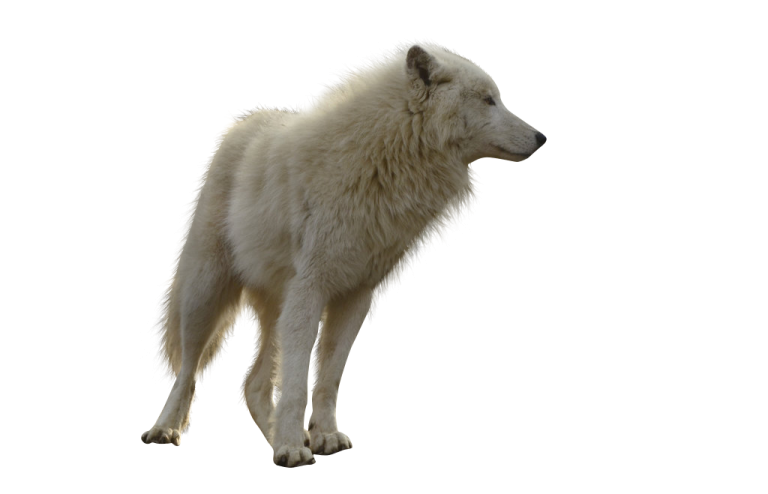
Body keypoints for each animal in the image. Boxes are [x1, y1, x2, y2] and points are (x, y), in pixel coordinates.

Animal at [141, 39, 546, 468]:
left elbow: (329, 377)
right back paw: (165, 430)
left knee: (253, 385)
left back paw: (282, 436)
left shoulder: (357, 296)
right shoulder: (311, 291)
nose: (542, 137)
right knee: (188, 369)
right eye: (489, 100)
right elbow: (297, 383)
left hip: (277, 309)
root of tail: (240, 124)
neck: (383, 158)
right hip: (207, 296)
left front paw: (321, 438)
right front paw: (291, 447)